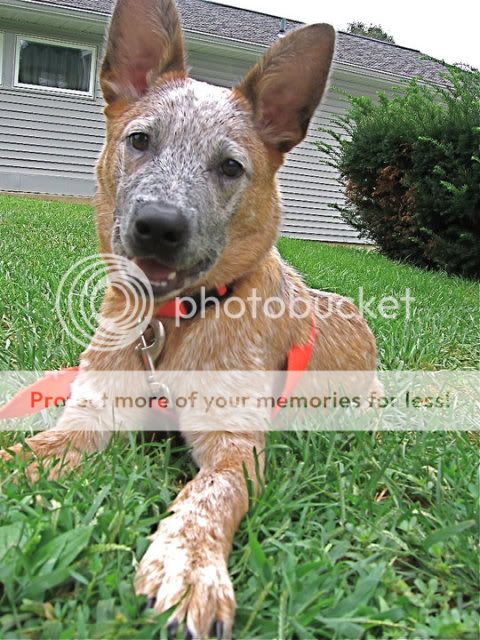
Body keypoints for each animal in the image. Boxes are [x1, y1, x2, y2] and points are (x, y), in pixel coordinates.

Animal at [1, 2, 380, 636]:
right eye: (140, 140)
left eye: (229, 166)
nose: (158, 225)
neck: (171, 323)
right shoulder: (94, 411)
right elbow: (34, 448)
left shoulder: (235, 443)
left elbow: (209, 495)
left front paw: (190, 567)